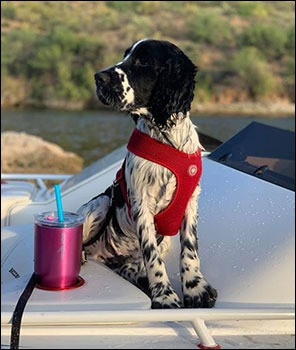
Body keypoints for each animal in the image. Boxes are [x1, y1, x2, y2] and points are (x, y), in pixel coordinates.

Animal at [77, 38, 217, 308]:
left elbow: (190, 250)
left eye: (143, 61)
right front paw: (165, 296)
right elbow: (153, 259)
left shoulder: (191, 201)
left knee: (130, 266)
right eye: (125, 56)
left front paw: (196, 289)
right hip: (101, 203)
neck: (167, 138)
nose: (98, 77)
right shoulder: (142, 203)